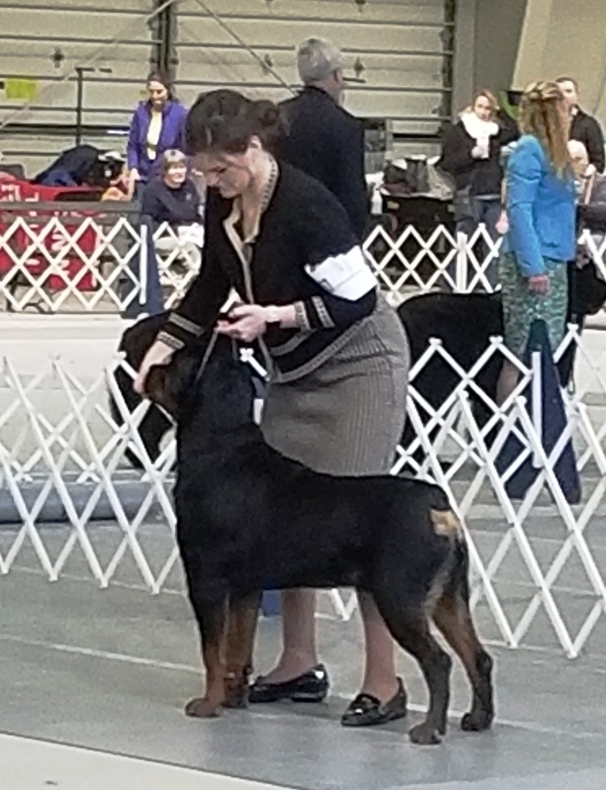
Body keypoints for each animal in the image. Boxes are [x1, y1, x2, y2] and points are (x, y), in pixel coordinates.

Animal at [142, 331, 494, 745]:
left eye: (173, 364)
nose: (149, 368)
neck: (218, 447)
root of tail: (439, 510)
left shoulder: (206, 579)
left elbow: (212, 649)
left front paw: (208, 704)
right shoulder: (246, 587)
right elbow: (236, 647)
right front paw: (231, 699)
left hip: (400, 596)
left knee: (438, 661)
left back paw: (429, 730)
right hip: (449, 597)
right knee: (477, 655)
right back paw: (478, 719)